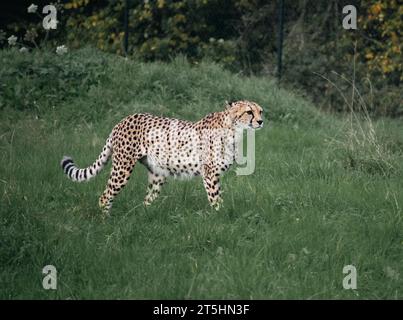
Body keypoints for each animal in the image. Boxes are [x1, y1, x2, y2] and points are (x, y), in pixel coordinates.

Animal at [59, 100, 262, 215]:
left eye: (260, 111)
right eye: (249, 112)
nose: (261, 121)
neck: (234, 130)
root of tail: (123, 120)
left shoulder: (215, 174)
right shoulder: (210, 173)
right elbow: (216, 199)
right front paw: (219, 216)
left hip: (158, 175)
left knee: (146, 201)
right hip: (122, 168)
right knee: (105, 196)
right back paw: (105, 222)